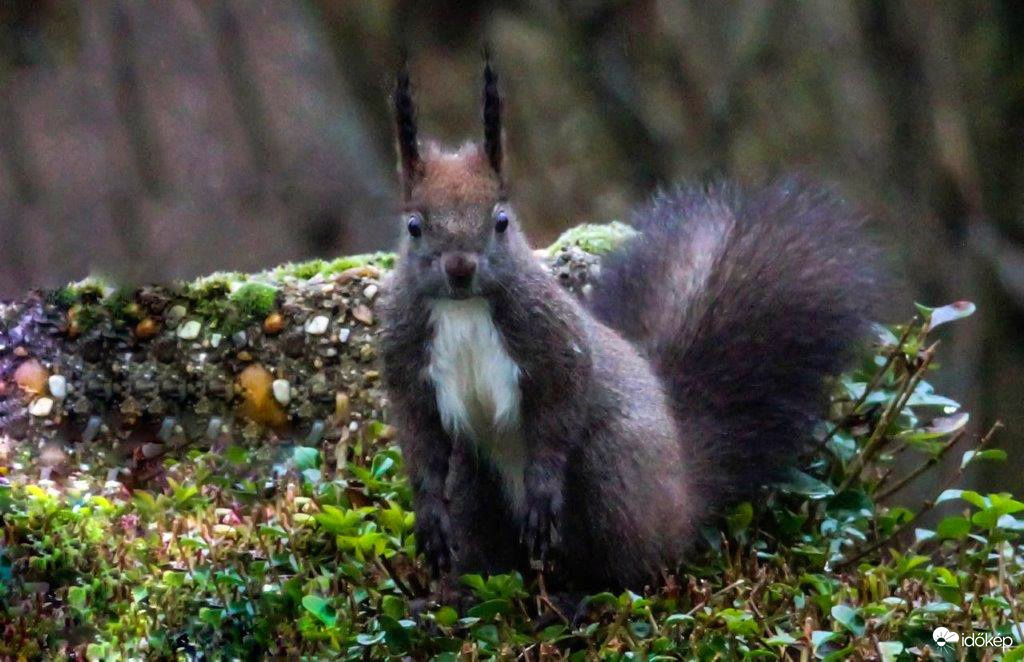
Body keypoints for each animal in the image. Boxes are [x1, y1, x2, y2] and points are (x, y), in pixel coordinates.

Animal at [376, 60, 880, 590]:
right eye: (414, 226)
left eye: (501, 220)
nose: (459, 268)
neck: (464, 308)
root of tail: (681, 499)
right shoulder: (405, 360)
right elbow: (419, 438)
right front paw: (429, 517)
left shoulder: (553, 341)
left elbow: (559, 409)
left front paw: (542, 490)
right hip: (475, 478)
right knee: (483, 549)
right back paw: (455, 596)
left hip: (614, 468)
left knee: (629, 567)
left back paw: (586, 596)